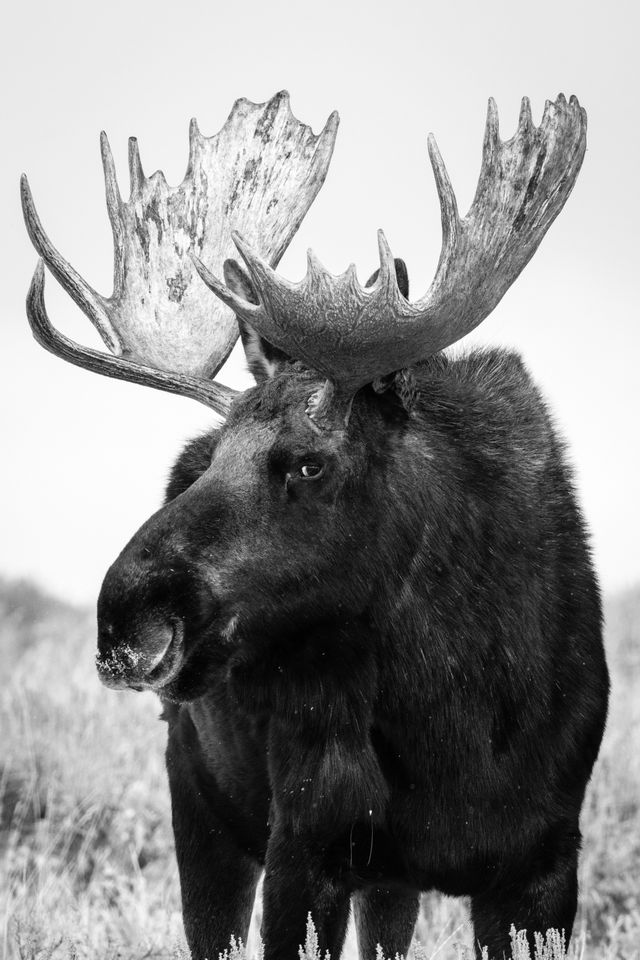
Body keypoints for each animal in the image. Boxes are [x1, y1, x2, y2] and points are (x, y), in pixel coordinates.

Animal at [21, 92, 608, 960]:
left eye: (308, 463)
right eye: (211, 459)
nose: (125, 620)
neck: (453, 720)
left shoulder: (544, 866)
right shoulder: (306, 848)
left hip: (387, 883)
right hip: (203, 809)